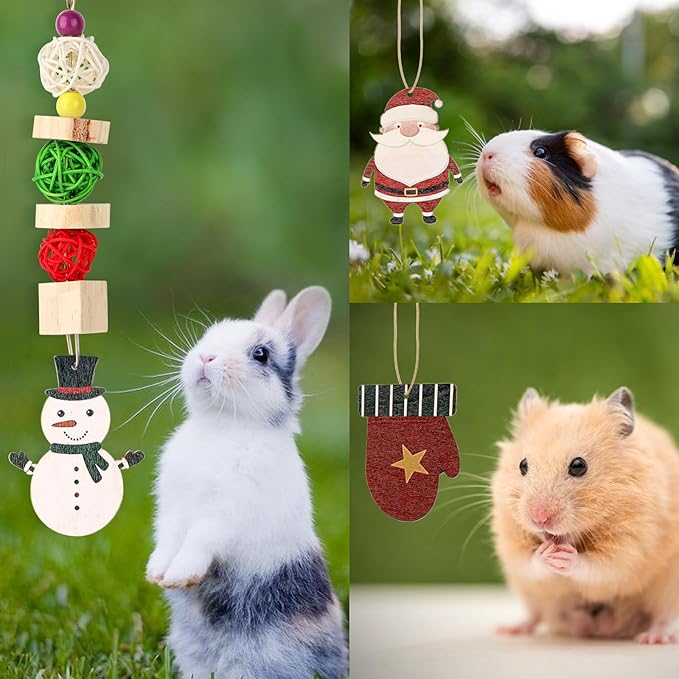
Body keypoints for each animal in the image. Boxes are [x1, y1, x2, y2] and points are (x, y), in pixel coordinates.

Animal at [146, 287, 348, 679]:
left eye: (261, 354)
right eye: (208, 335)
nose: (206, 357)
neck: (222, 424)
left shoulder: (226, 514)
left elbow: (199, 538)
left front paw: (180, 575)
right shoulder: (172, 510)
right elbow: (168, 538)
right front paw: (157, 574)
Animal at [492, 387, 679, 644]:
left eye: (578, 466)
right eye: (522, 465)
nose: (539, 518)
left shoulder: (632, 546)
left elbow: (599, 567)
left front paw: (564, 556)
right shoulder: (511, 545)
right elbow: (528, 562)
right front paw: (545, 553)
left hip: (669, 589)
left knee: (665, 616)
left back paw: (654, 637)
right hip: (530, 594)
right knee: (535, 614)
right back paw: (510, 629)